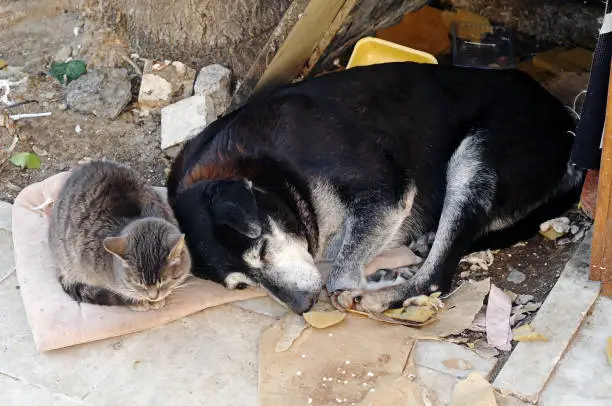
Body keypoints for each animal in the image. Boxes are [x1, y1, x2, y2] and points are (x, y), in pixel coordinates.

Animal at [169, 61, 584, 314]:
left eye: (264, 250)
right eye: (242, 286)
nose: (304, 306)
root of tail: (568, 120)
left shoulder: (386, 193)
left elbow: (339, 270)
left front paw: (357, 280)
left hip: (476, 158)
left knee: (434, 279)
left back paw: (375, 296)